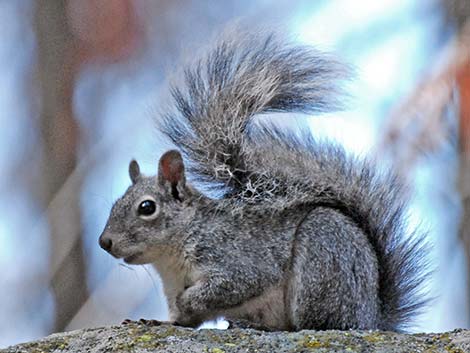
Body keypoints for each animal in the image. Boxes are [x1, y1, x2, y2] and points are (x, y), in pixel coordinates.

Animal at [98, 31, 430, 332]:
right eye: (115, 204)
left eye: (147, 207)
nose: (104, 242)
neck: (171, 258)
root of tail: (372, 318)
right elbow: (183, 321)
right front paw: (158, 320)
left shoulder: (238, 260)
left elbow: (237, 284)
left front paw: (190, 300)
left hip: (322, 258)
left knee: (316, 325)